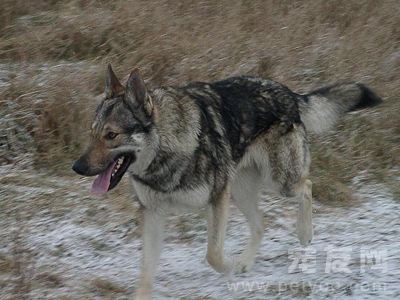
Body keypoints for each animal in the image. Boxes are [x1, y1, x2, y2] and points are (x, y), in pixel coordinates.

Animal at [72, 64, 382, 298]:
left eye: (111, 135)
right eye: (91, 132)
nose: (77, 167)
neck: (168, 151)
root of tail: (288, 93)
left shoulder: (217, 198)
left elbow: (213, 253)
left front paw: (229, 267)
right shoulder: (153, 214)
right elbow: (146, 271)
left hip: (278, 182)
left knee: (307, 186)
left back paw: (303, 234)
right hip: (242, 192)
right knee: (261, 223)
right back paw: (246, 261)